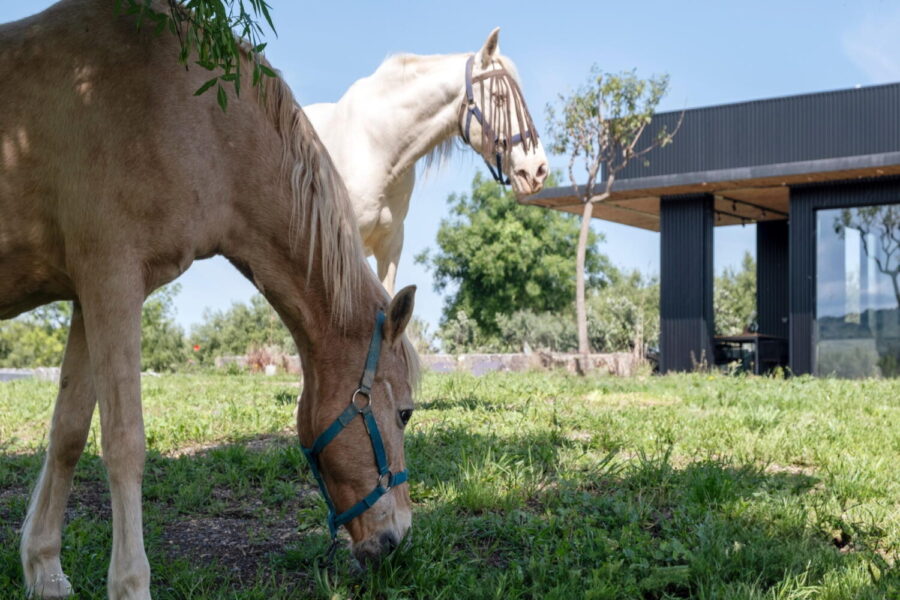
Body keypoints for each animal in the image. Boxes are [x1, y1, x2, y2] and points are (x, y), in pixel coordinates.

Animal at [0, 1, 420, 598]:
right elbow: (124, 443)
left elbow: (68, 434)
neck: (194, 115)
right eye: (404, 413)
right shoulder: (113, 281)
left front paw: (43, 568)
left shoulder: (88, 295)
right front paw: (130, 583)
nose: (397, 537)